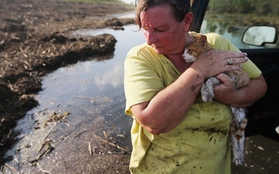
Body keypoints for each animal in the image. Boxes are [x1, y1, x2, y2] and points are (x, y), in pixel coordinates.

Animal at [185, 33, 250, 166]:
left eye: (189, 50)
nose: (183, 56)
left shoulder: (223, 76)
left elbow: (209, 80)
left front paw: (207, 92)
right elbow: (204, 83)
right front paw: (206, 93)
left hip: (239, 115)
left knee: (240, 137)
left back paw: (239, 155)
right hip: (235, 117)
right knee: (235, 135)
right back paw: (237, 155)